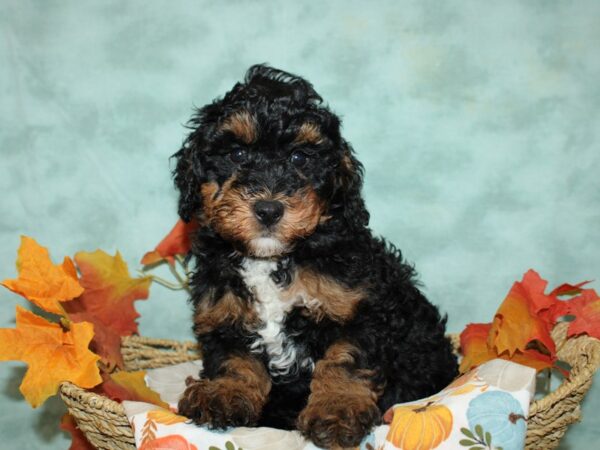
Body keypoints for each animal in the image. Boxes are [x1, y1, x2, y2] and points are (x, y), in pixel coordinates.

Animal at [173, 65, 460, 448]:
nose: (268, 209)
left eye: (300, 158)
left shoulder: (360, 308)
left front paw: (336, 410)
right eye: (236, 155)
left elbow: (344, 362)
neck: (272, 259)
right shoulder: (224, 313)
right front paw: (222, 393)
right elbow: (233, 359)